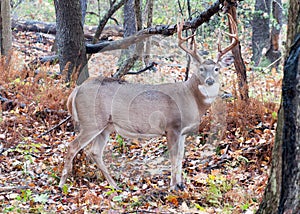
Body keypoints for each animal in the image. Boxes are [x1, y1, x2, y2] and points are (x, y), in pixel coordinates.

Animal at [58, 14, 237, 190]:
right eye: (200, 69)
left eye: (217, 69)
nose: (209, 81)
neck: (191, 98)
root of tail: (76, 90)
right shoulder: (172, 126)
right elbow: (173, 157)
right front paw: (173, 187)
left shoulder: (183, 132)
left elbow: (180, 157)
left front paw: (181, 185)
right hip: (91, 120)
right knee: (72, 146)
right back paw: (62, 184)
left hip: (106, 126)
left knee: (94, 151)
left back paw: (115, 185)